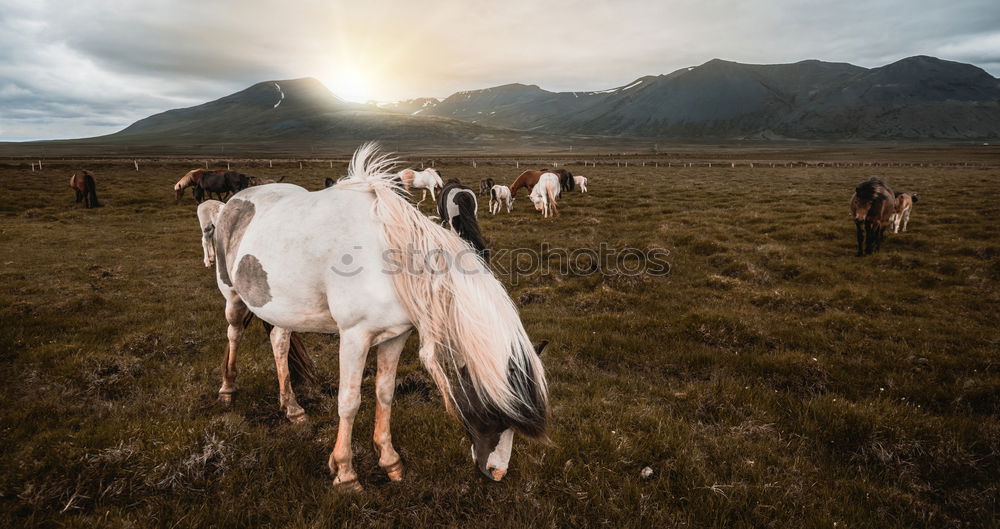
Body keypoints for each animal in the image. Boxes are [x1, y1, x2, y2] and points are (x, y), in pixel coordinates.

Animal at [202, 142, 548, 488]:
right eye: (496, 411)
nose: (497, 472)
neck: (392, 261)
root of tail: (234, 200)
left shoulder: (395, 336)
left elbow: (385, 394)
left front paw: (390, 460)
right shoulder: (354, 337)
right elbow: (349, 401)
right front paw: (345, 472)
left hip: (284, 309)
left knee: (279, 342)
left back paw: (292, 408)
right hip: (232, 296)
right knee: (234, 333)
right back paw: (227, 390)